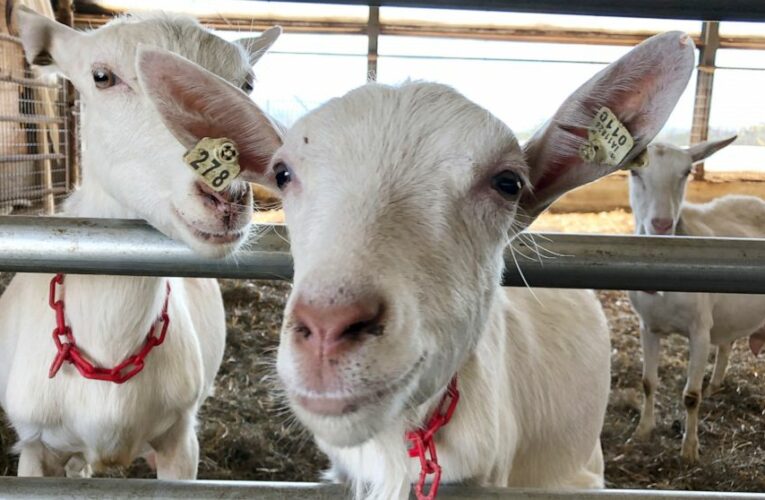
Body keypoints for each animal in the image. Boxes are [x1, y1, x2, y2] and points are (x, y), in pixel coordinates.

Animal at [627, 136, 765, 462]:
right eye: (634, 172)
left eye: (686, 172)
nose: (662, 224)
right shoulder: (647, 326)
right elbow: (648, 382)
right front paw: (642, 432)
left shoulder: (700, 330)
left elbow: (690, 395)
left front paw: (689, 449)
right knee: (727, 344)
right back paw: (715, 384)